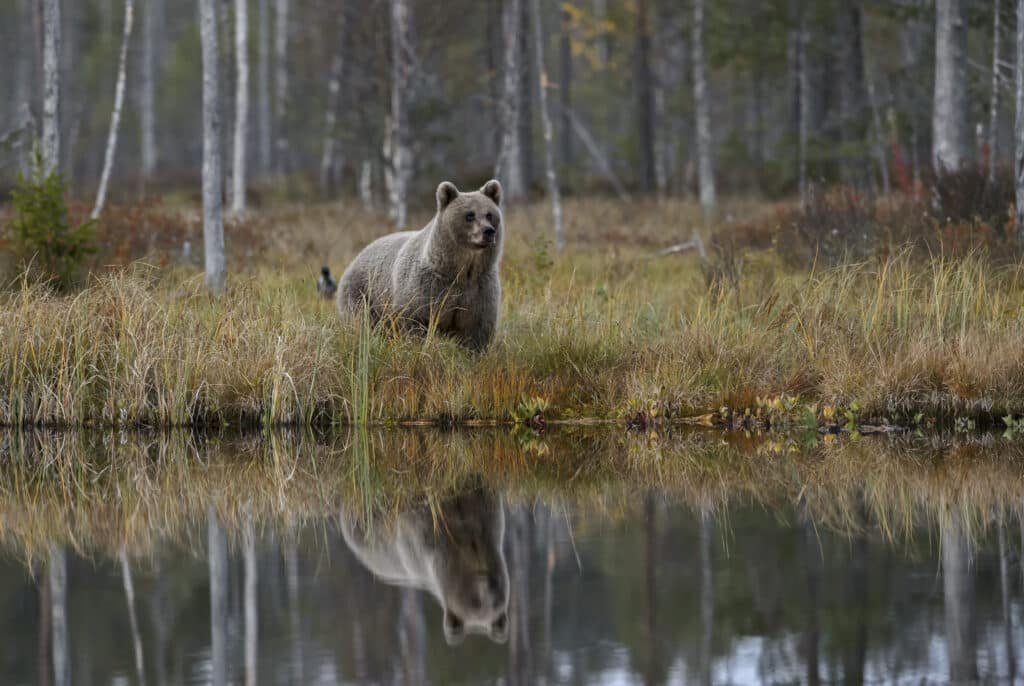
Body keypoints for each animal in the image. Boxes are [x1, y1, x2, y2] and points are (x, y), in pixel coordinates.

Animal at [337, 179, 504, 351]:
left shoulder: (479, 290)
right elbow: (415, 322)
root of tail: (357, 256)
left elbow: (476, 331)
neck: (460, 270)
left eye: (489, 214)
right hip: (363, 294)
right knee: (361, 323)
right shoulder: (426, 289)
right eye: (469, 215)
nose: (488, 231)